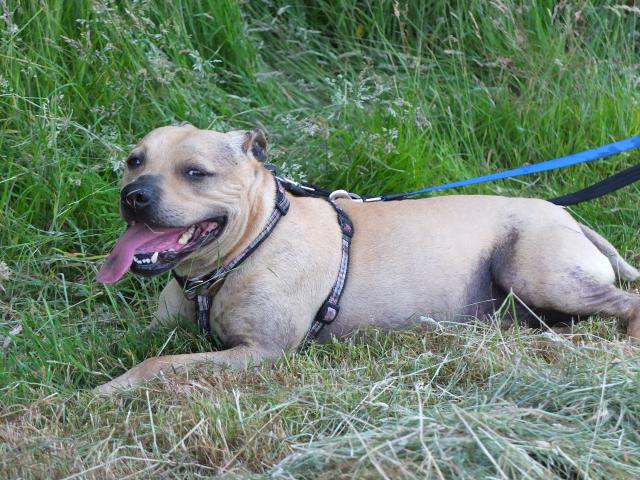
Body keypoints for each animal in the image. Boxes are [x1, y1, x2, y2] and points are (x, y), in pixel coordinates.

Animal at [95, 124, 640, 394]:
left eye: (195, 172)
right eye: (134, 160)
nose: (133, 196)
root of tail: (568, 217)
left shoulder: (259, 352)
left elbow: (159, 363)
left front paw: (108, 389)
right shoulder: (160, 328)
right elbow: (122, 341)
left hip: (538, 272)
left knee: (627, 302)